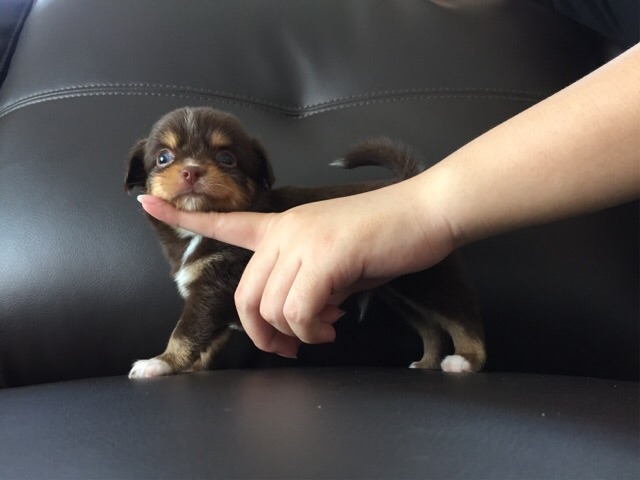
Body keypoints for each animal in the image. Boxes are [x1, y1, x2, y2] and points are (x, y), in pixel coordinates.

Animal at [124, 107, 485, 378]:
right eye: (163, 158)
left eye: (227, 159)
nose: (192, 171)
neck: (195, 232)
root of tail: (406, 181)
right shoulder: (221, 299)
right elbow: (207, 338)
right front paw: (191, 366)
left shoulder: (213, 290)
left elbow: (186, 331)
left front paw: (161, 363)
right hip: (401, 290)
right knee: (431, 327)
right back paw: (426, 362)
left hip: (429, 280)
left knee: (462, 317)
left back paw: (466, 359)